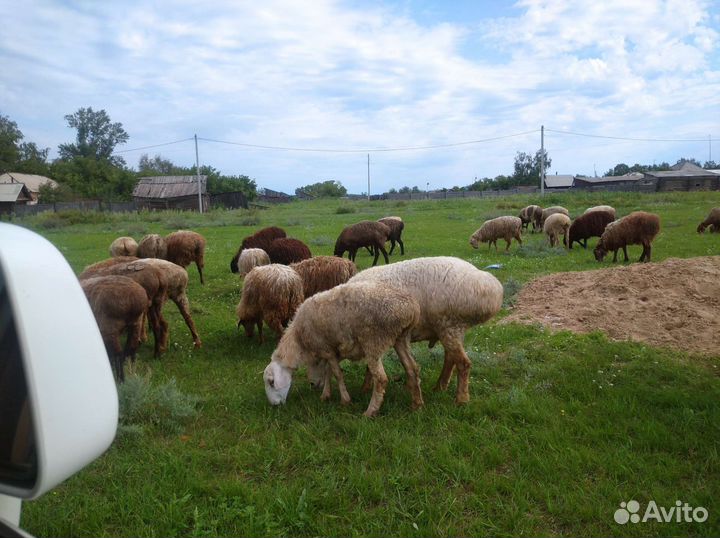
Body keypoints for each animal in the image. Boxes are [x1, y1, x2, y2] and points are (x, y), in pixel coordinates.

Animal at [263, 281, 422, 417]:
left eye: (271, 382)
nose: (275, 406)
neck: (299, 339)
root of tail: (411, 307)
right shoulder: (333, 350)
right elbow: (328, 371)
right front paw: (325, 395)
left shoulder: (326, 349)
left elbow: (337, 374)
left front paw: (345, 400)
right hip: (401, 338)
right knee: (412, 368)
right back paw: (417, 404)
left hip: (373, 342)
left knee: (381, 379)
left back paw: (370, 411)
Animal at [349, 256, 504, 404]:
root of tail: (487, 284)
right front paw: (365, 389)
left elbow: (371, 367)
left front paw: (364, 389)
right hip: (450, 330)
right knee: (450, 359)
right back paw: (440, 388)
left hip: (450, 325)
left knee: (463, 363)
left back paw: (461, 400)